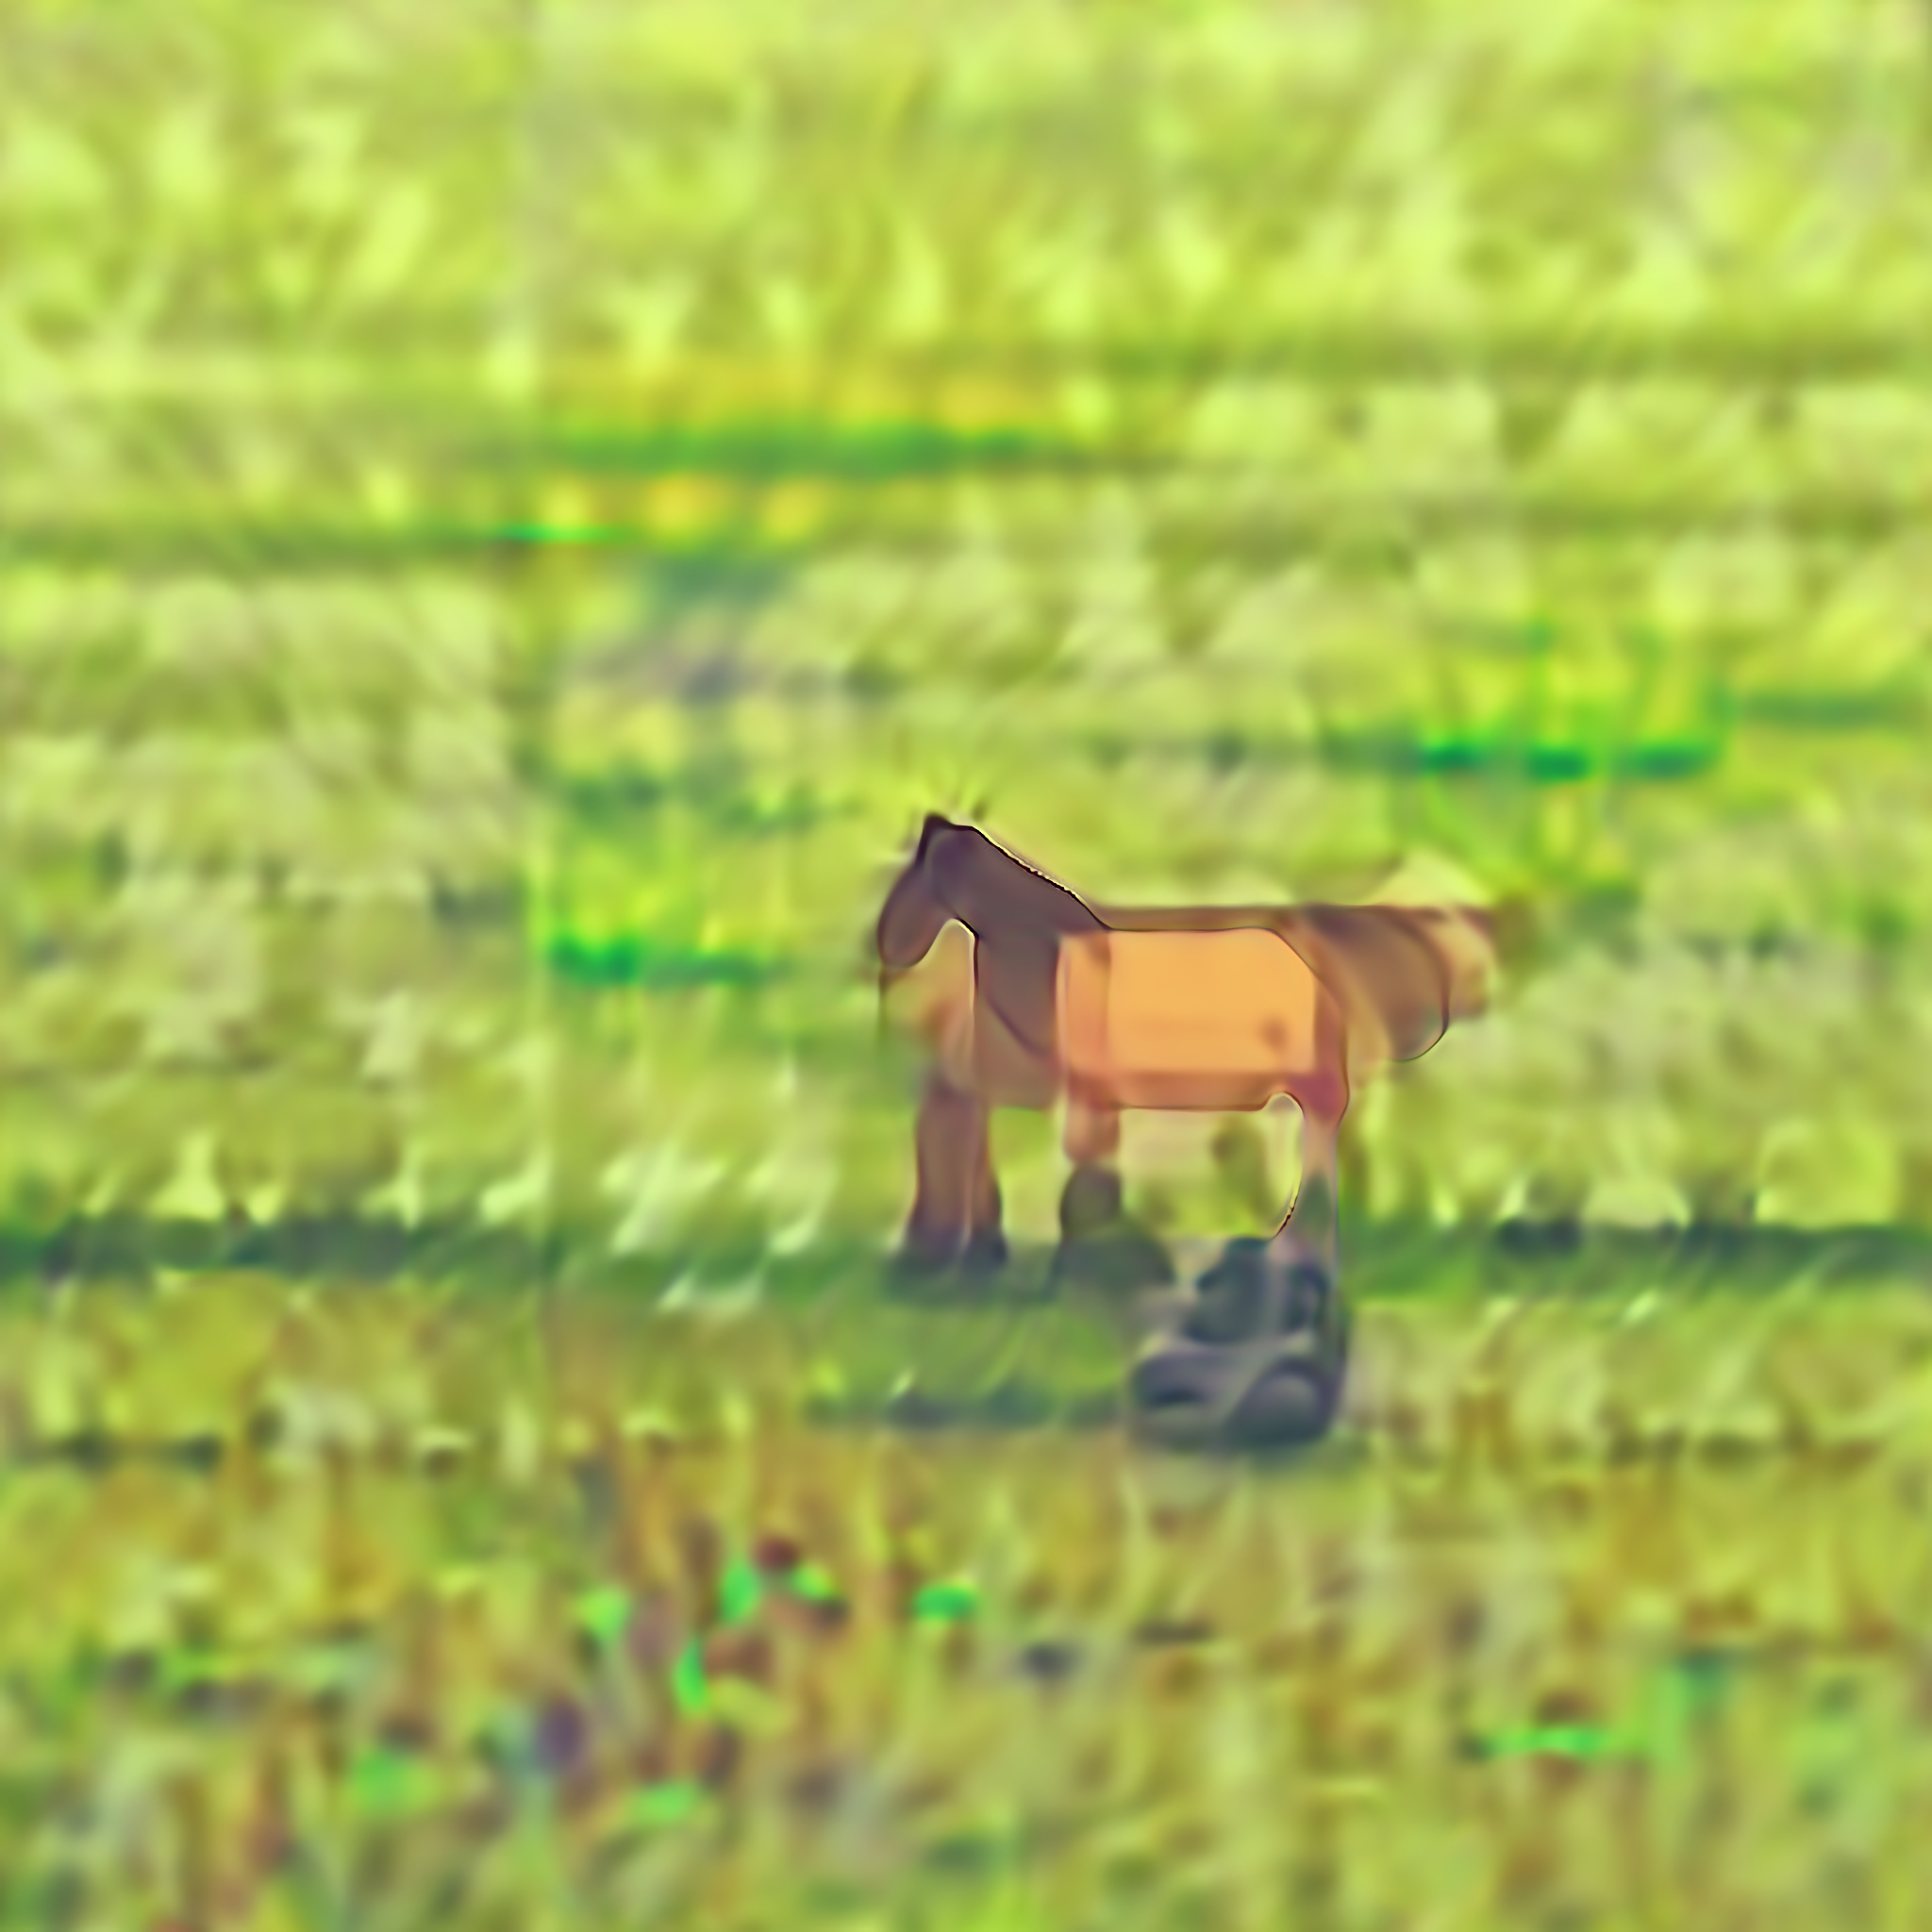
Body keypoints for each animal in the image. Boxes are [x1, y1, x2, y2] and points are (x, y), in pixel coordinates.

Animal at [875, 813, 1496, 1450]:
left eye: (910, 879)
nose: (885, 948)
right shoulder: (1072, 1098)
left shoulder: (1078, 1098)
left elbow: (1080, 1198)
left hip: (1316, 1099)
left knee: (1317, 1199)